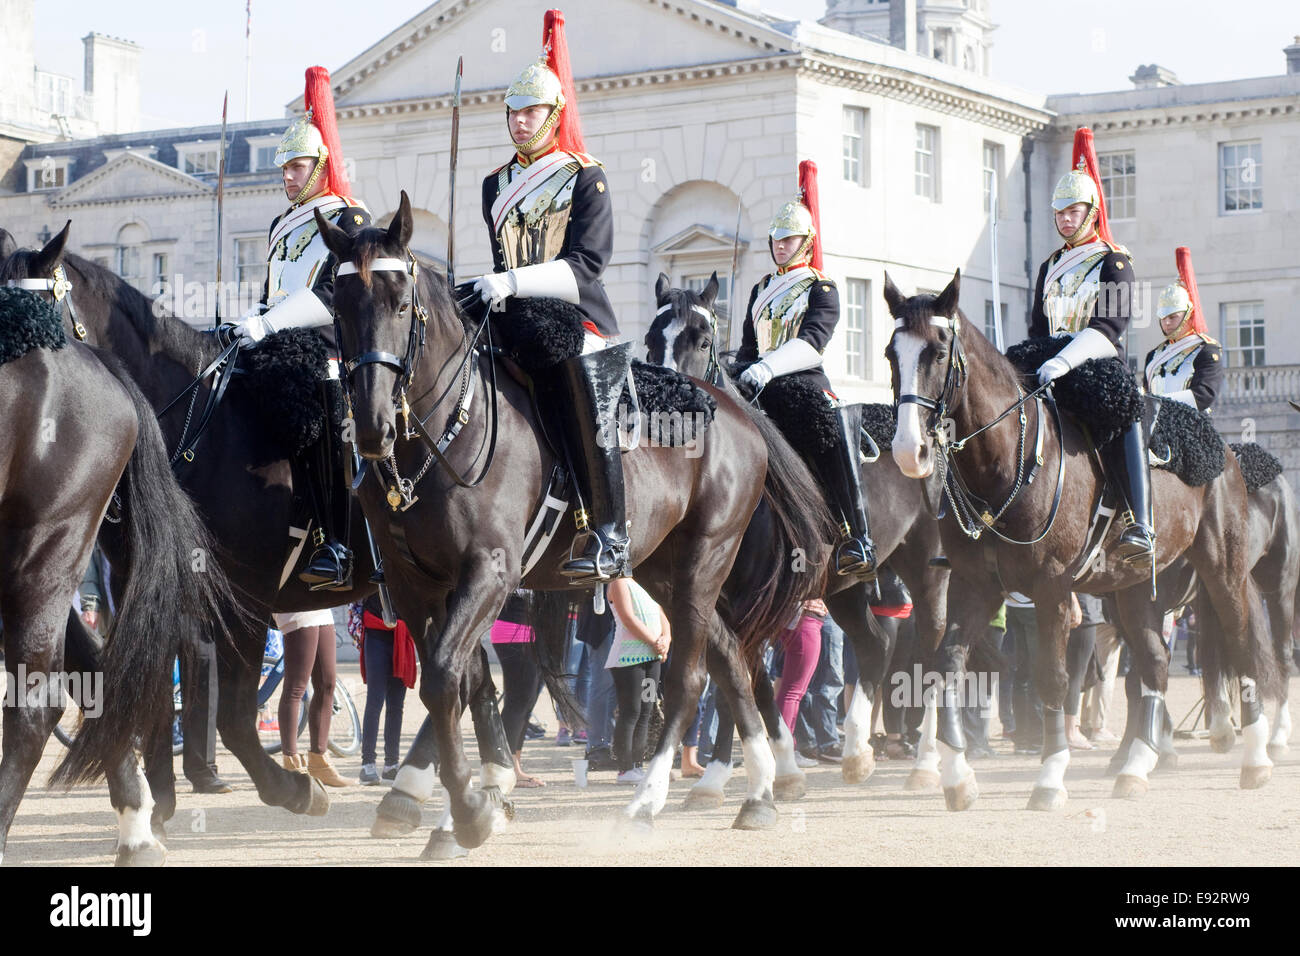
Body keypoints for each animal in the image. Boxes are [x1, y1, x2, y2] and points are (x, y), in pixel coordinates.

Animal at [325, 191, 832, 848]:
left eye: (400, 300)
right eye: (338, 303)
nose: (372, 426)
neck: (444, 433)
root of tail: (735, 408)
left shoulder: (490, 571)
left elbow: (442, 677)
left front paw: (468, 811)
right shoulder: (420, 585)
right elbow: (467, 681)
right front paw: (478, 797)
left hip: (705, 562)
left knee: (691, 676)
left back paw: (649, 799)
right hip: (664, 570)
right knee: (729, 661)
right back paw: (759, 792)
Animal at [644, 273, 951, 796]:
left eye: (702, 341)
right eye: (650, 339)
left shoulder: (750, 599)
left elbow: (736, 678)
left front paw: (735, 771)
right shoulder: (712, 597)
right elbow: (744, 677)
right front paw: (770, 768)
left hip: (925, 570)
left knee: (929, 648)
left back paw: (927, 761)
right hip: (844, 586)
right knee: (877, 646)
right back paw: (856, 750)